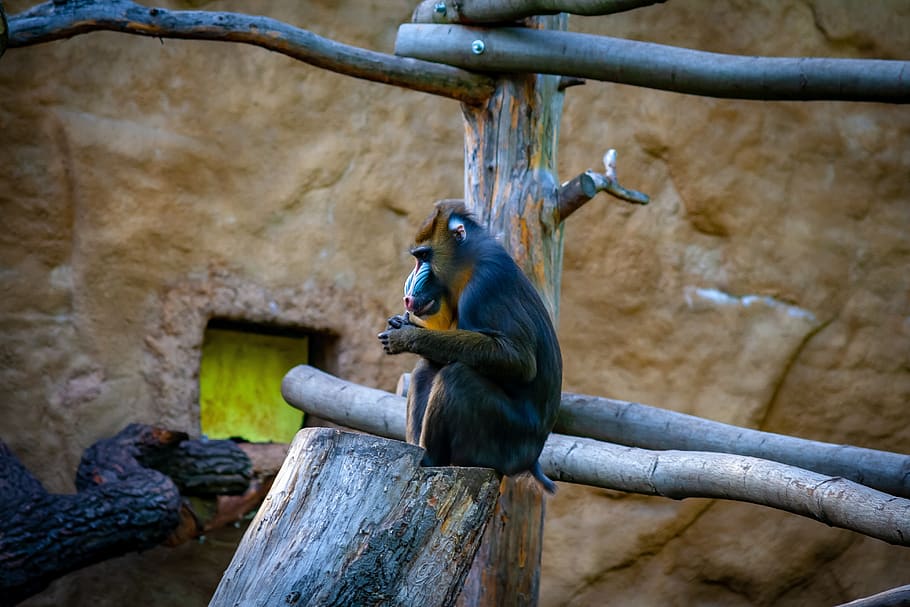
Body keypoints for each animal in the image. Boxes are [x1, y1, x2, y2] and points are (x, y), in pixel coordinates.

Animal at [377, 199, 562, 493]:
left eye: (424, 257)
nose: (408, 296)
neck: (467, 265)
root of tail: (530, 460)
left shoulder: (486, 285)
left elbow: (519, 360)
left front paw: (405, 336)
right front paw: (401, 323)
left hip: (503, 442)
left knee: (457, 376)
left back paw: (429, 458)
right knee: (426, 368)